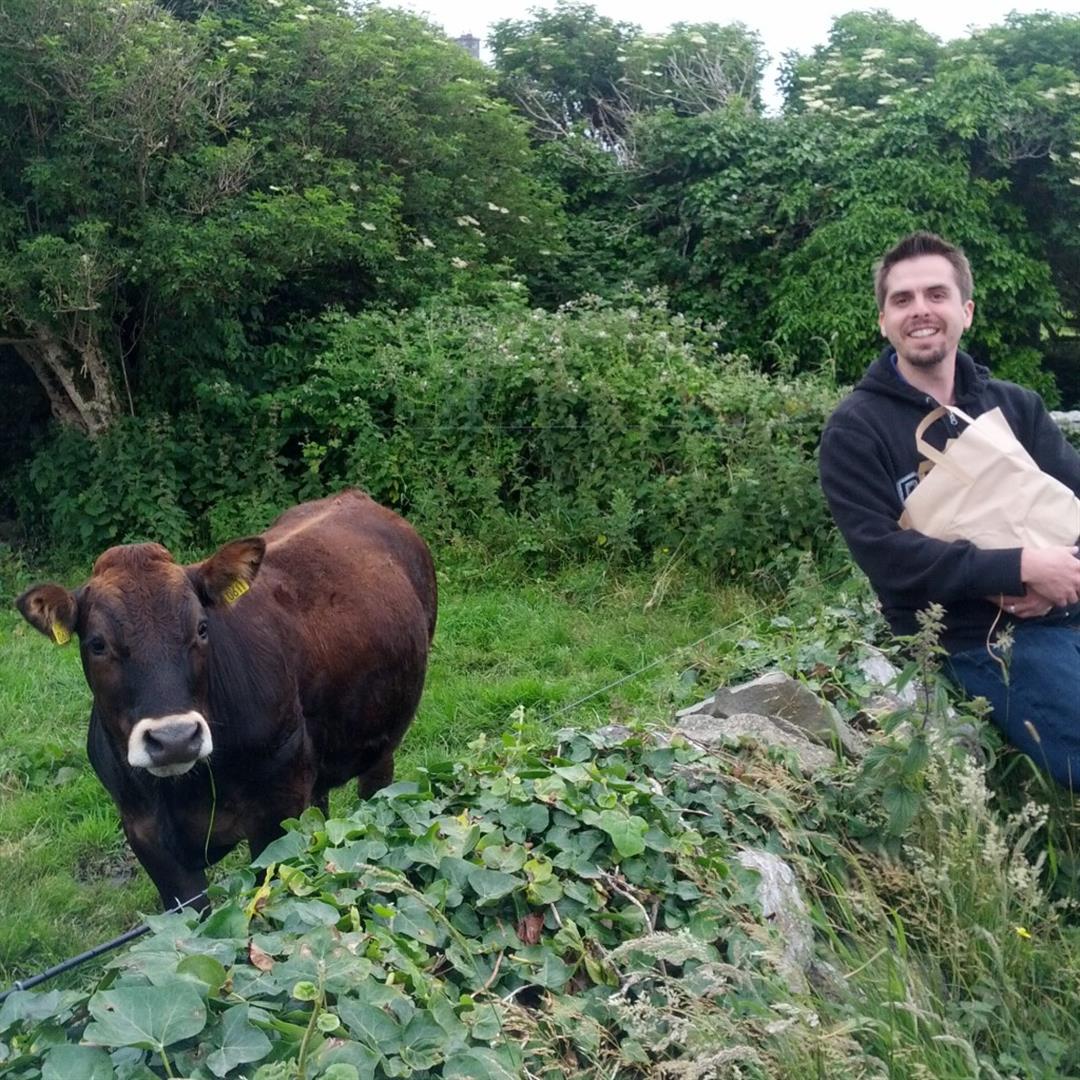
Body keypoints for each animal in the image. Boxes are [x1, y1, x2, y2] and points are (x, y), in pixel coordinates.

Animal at [13, 492, 434, 911]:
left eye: (202, 628)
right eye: (97, 643)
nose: (175, 739)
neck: (187, 790)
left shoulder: (276, 812)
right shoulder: (145, 833)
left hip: (380, 739)